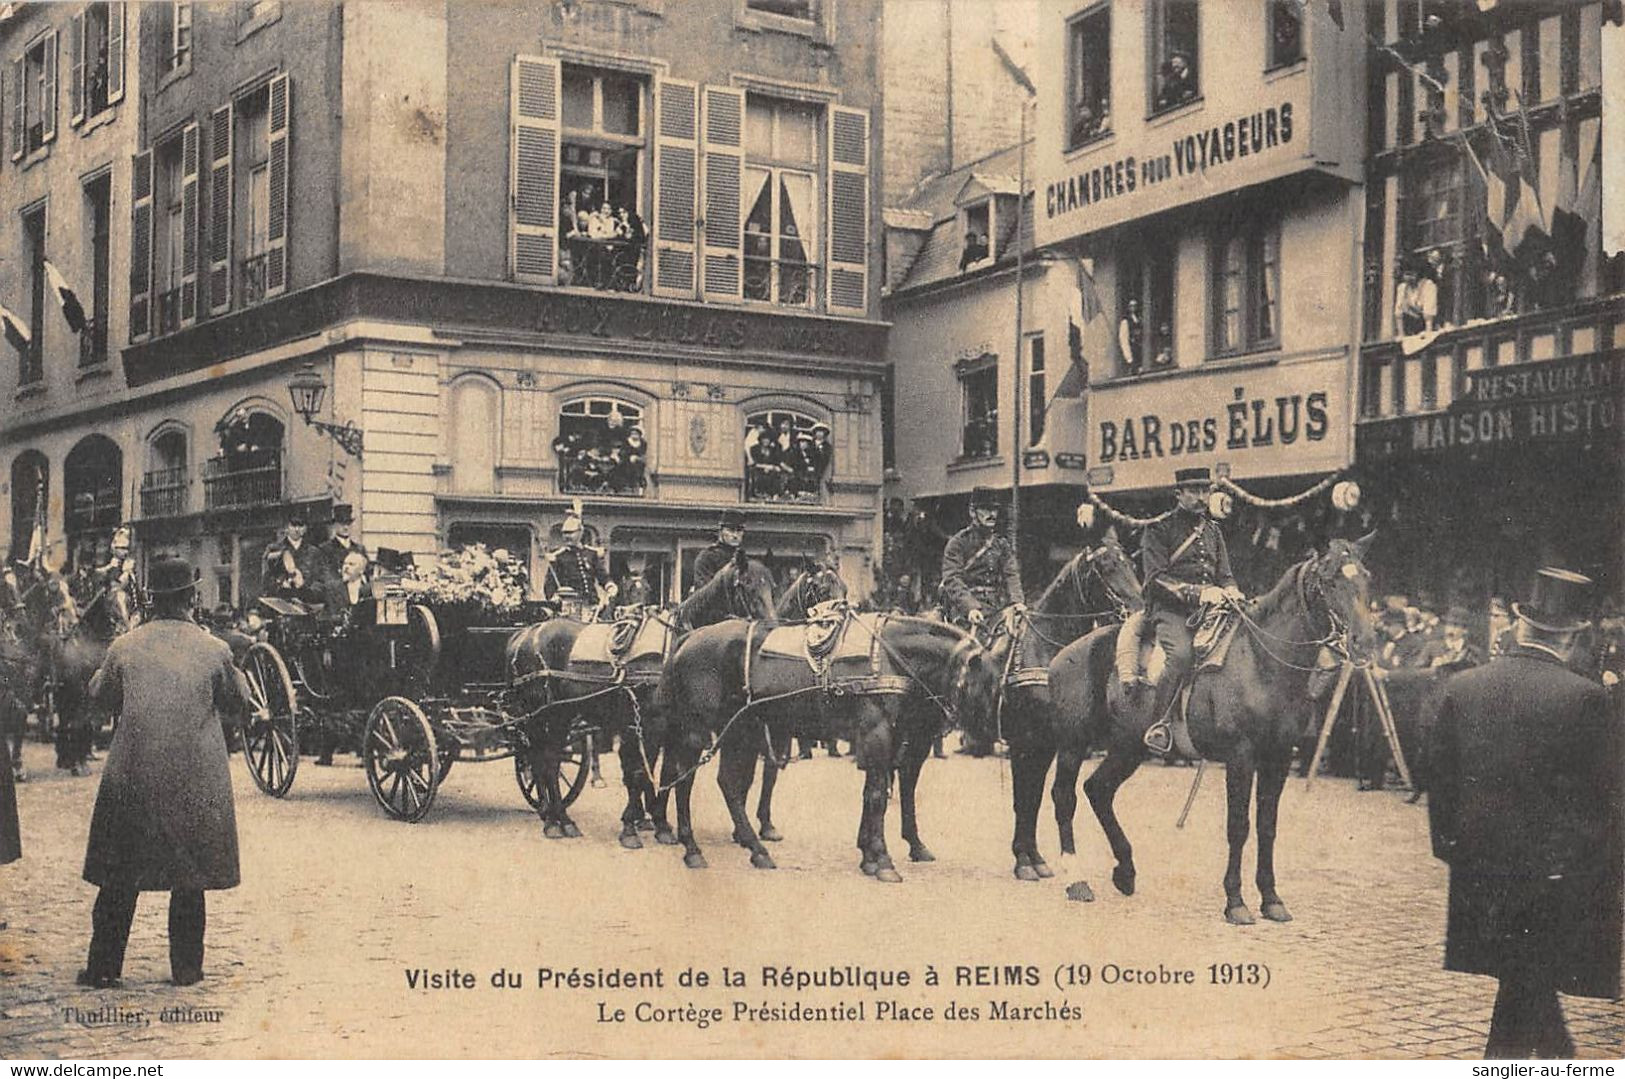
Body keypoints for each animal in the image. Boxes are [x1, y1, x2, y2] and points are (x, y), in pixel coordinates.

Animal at [507, 552, 780, 845]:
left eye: (772, 586)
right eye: (747, 584)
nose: (772, 629)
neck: (676, 646)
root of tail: (526, 633)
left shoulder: (672, 728)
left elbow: (666, 772)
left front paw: (660, 823)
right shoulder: (649, 724)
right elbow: (640, 772)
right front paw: (631, 827)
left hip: (562, 713)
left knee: (549, 758)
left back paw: (557, 816)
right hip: (543, 713)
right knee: (542, 758)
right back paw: (555, 821)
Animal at [653, 614, 994, 877]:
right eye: (987, 682)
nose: (989, 734)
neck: (887, 659)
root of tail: (689, 638)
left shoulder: (889, 740)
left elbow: (876, 793)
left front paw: (870, 857)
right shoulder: (877, 735)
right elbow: (877, 797)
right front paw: (883, 861)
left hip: (740, 730)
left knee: (729, 785)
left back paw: (757, 850)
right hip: (697, 731)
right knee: (684, 781)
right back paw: (693, 849)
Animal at [962, 536, 1144, 884]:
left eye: (1130, 563)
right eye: (1105, 568)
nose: (1139, 611)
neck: (1048, 652)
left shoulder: (1048, 744)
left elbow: (1033, 799)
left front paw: (1034, 858)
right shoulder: (1025, 742)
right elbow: (1025, 798)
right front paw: (1023, 860)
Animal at [1046, 536, 1378, 923]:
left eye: (1366, 578)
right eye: (1330, 581)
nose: (1363, 642)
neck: (1263, 661)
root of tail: (1064, 654)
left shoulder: (1279, 757)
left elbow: (1267, 826)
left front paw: (1271, 899)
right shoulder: (1240, 756)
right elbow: (1239, 826)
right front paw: (1236, 902)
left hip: (1129, 747)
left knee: (1098, 790)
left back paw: (1125, 872)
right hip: (1074, 744)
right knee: (1065, 797)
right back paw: (1076, 880)